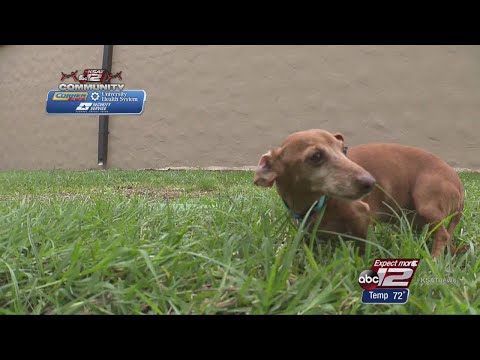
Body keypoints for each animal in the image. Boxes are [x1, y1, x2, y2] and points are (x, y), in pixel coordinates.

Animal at [253, 129, 464, 256]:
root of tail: (460, 186)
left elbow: (363, 248)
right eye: (316, 156)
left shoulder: (362, 216)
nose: (371, 183)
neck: (318, 204)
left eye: (344, 149)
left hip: (426, 203)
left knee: (443, 236)